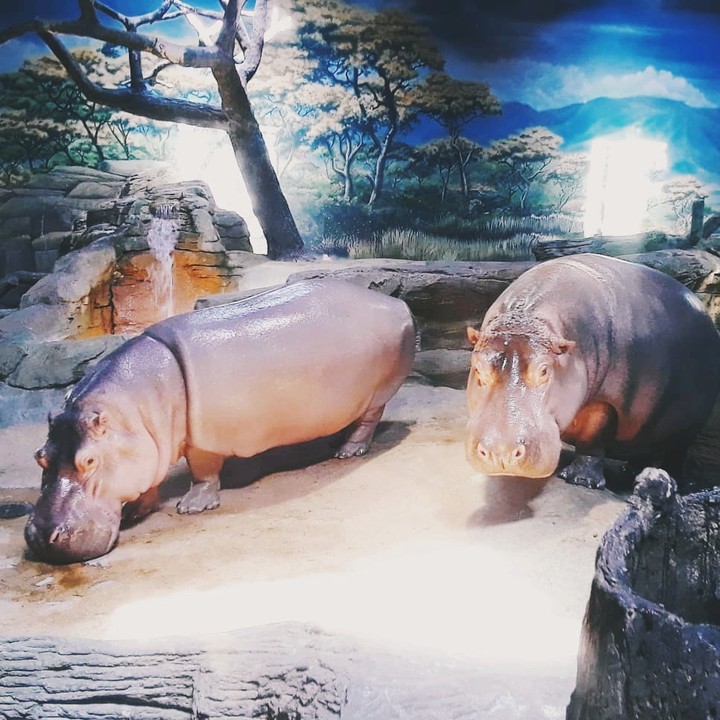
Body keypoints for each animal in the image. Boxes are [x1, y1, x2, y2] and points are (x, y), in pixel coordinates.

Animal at [25, 279, 416, 563]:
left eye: (89, 461)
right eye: (39, 457)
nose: (43, 537)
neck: (135, 409)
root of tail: (396, 304)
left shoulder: (201, 439)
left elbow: (203, 469)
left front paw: (191, 507)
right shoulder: (148, 445)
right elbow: (149, 479)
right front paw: (137, 511)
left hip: (377, 394)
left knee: (368, 420)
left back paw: (347, 451)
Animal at [465, 253, 720, 490]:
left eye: (544, 370)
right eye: (478, 368)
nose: (500, 452)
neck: (528, 320)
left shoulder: (605, 400)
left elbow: (593, 437)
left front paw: (580, 480)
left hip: (687, 428)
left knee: (675, 454)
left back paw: (672, 481)